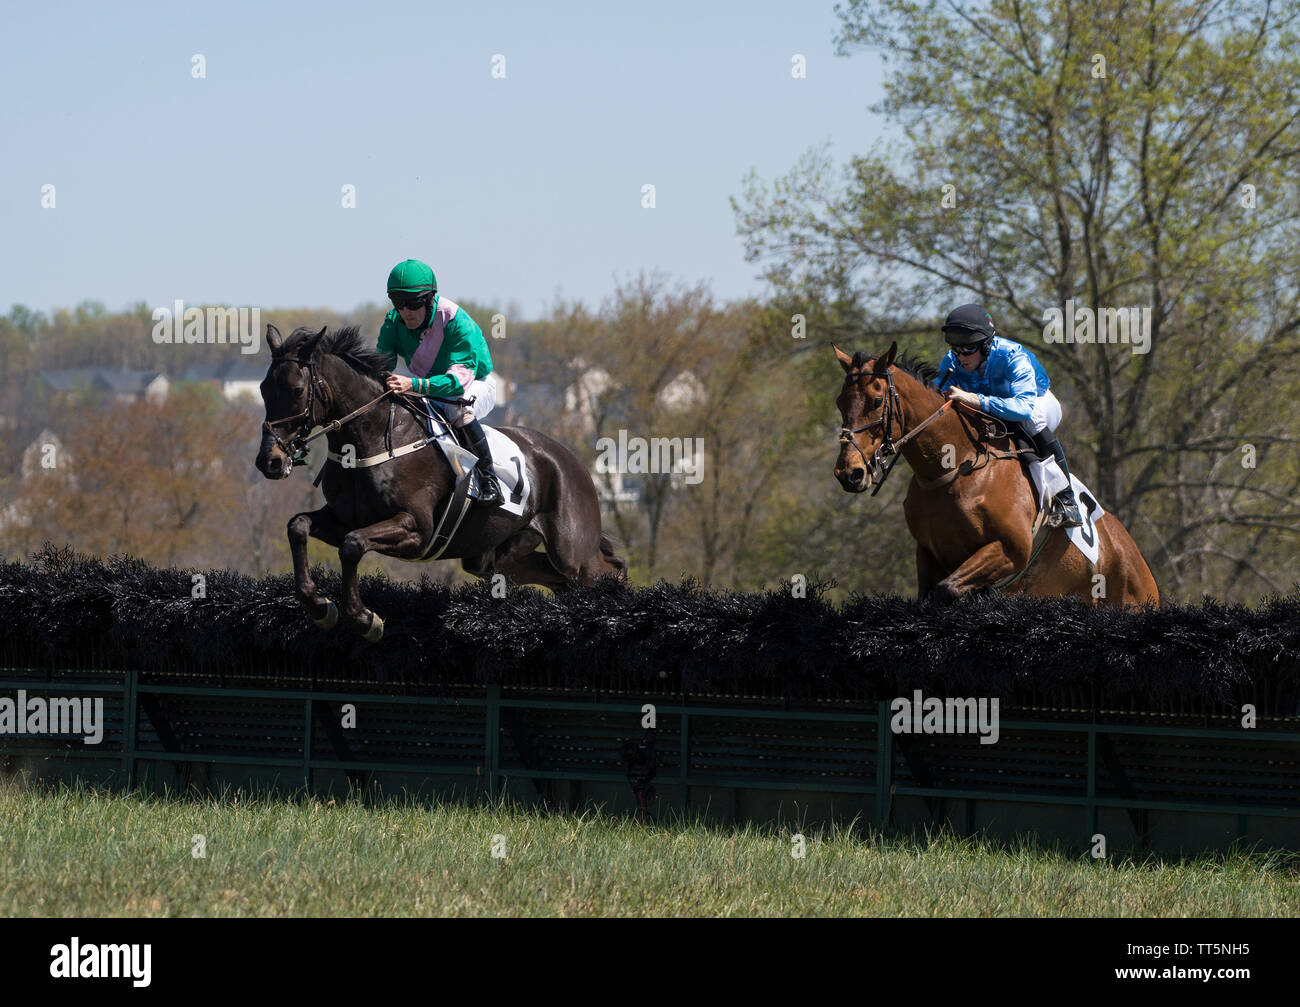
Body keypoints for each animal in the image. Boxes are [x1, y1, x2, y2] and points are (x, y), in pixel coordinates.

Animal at [254, 324, 629, 639]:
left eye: (297, 390)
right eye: (263, 389)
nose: (269, 460)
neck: (372, 440)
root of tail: (572, 460)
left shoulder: (416, 529)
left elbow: (352, 545)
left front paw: (364, 619)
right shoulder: (343, 517)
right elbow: (298, 526)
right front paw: (320, 607)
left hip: (572, 551)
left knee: (608, 569)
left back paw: (618, 614)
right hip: (499, 557)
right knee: (562, 580)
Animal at [837, 343, 1164, 605]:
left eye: (876, 401)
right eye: (840, 402)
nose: (849, 473)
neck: (954, 468)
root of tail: (1131, 552)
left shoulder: (1011, 549)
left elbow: (947, 590)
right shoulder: (929, 554)